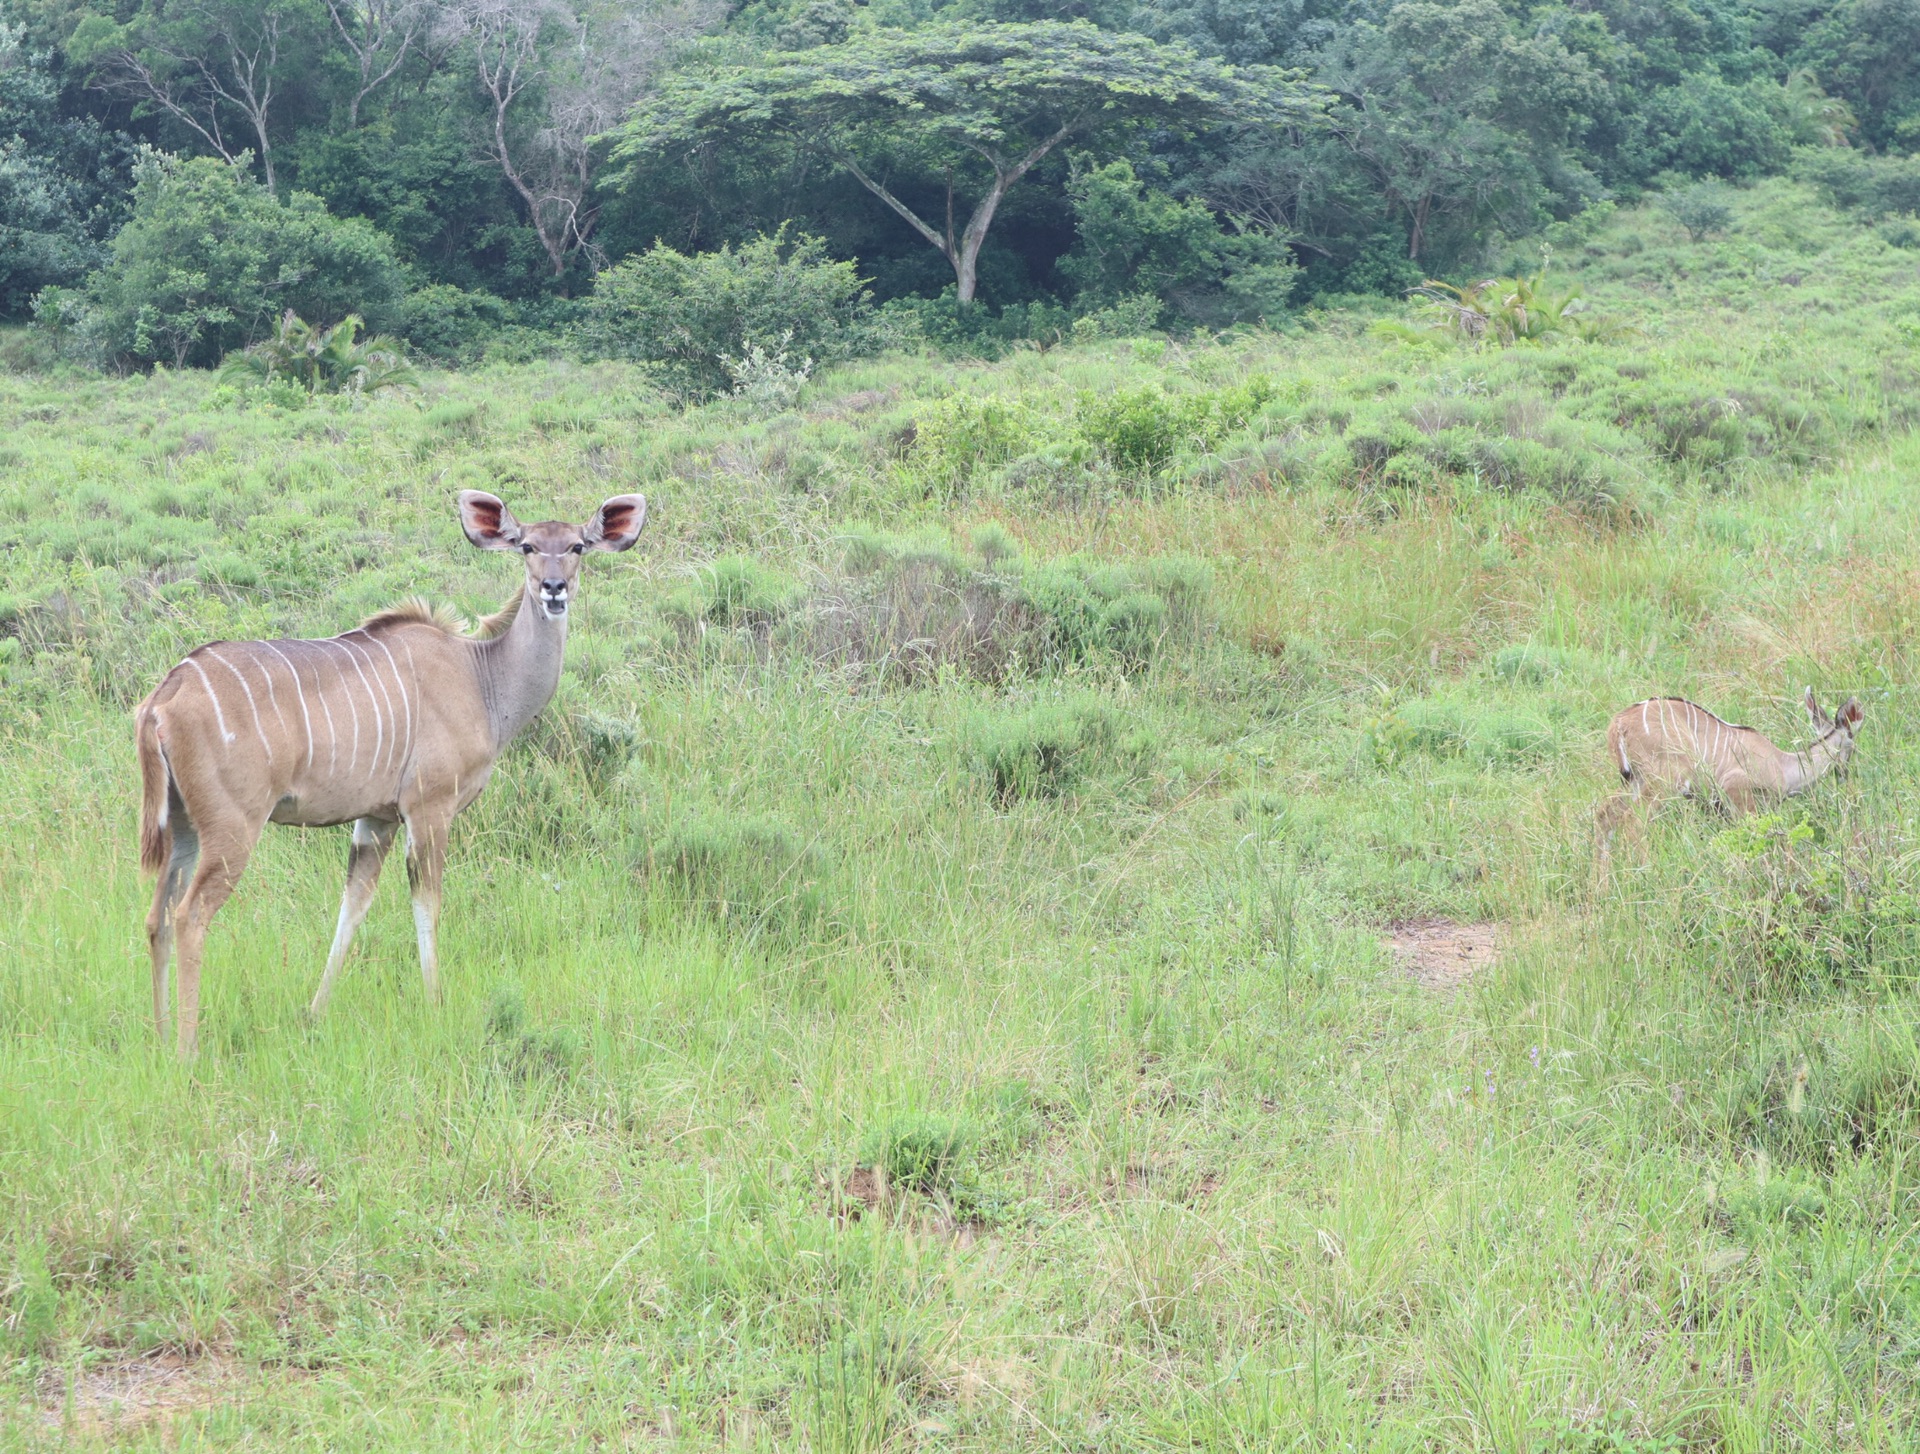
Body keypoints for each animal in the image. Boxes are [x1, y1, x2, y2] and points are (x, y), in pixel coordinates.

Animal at [137, 491, 645, 1052]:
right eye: (528, 546)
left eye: (577, 546)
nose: (554, 589)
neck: (481, 677)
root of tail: (164, 697)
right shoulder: (429, 807)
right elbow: (427, 903)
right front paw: (434, 1004)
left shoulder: (376, 818)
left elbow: (353, 905)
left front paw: (314, 1013)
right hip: (233, 827)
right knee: (190, 915)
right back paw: (186, 1050)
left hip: (183, 824)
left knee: (158, 915)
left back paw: (160, 1039)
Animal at [1597, 687, 1866, 879]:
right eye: (1852, 745)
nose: (1846, 775)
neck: (1782, 765)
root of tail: (1619, 724)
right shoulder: (1734, 789)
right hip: (1665, 782)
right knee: (1633, 823)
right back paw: (1645, 872)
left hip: (1633, 780)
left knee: (1605, 814)